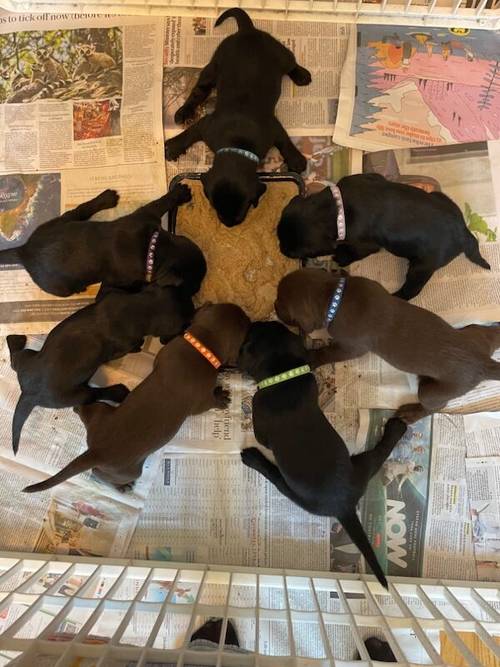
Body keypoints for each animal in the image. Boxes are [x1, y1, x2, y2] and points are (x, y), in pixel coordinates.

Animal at [0, 184, 205, 296]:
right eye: (191, 285)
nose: (195, 293)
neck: (151, 250)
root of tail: (23, 251)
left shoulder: (147, 215)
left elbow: (161, 202)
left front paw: (180, 193)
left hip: (62, 221)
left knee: (81, 209)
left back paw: (107, 198)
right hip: (61, 287)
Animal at [166, 6, 310, 228]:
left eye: (246, 206)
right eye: (215, 206)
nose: (229, 224)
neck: (237, 143)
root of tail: (247, 31)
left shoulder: (272, 128)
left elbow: (285, 141)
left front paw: (296, 159)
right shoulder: (207, 125)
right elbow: (189, 133)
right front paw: (173, 146)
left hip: (281, 55)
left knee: (292, 64)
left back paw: (302, 75)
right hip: (214, 66)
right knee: (199, 91)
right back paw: (184, 111)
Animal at [237, 320, 406, 588]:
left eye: (250, 337)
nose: (255, 322)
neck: (284, 375)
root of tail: (344, 507)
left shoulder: (259, 421)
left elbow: (261, 435)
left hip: (294, 492)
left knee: (275, 476)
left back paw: (253, 458)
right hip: (362, 466)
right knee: (380, 453)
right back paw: (397, 428)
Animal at [276, 174, 490, 298]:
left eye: (295, 252)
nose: (281, 249)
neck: (336, 209)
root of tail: (464, 233)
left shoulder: (363, 245)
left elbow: (350, 252)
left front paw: (339, 258)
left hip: (422, 266)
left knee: (412, 289)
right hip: (443, 198)